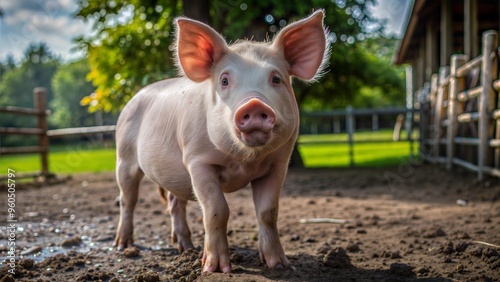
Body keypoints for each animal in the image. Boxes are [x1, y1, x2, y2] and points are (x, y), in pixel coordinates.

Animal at [115, 10, 330, 274]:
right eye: (225, 80)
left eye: (276, 79)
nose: (254, 104)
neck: (244, 160)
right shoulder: (197, 160)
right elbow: (217, 209)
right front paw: (215, 269)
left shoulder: (279, 163)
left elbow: (268, 212)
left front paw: (280, 265)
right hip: (124, 156)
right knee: (127, 200)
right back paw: (124, 246)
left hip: (174, 173)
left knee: (175, 203)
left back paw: (186, 248)